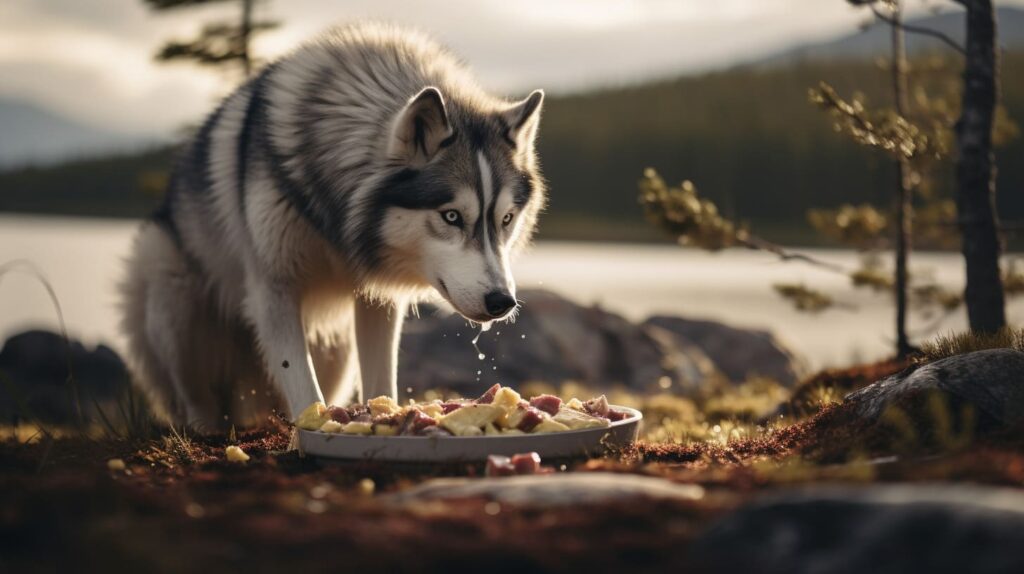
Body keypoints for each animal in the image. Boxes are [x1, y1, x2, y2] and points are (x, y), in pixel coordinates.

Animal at [121, 22, 544, 427]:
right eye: (452, 216)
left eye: (505, 219)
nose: (502, 302)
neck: (336, 221)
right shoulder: (273, 288)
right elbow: (299, 376)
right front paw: (315, 424)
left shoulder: (376, 295)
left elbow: (380, 378)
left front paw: (386, 416)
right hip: (170, 292)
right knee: (196, 398)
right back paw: (203, 428)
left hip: (335, 351)